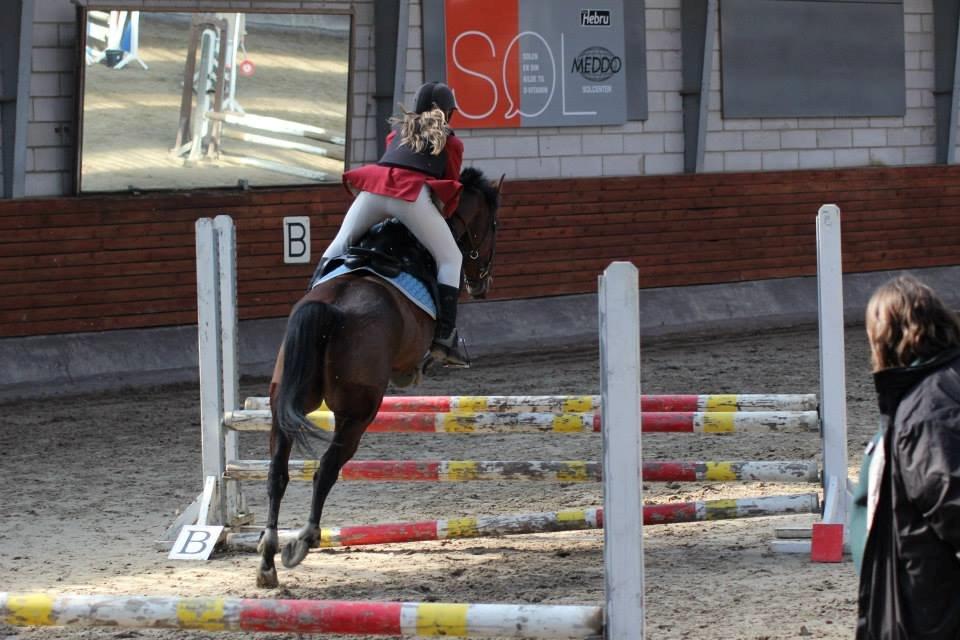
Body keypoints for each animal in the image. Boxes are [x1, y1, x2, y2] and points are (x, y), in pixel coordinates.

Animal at [257, 168, 502, 588]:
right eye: (493, 227)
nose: (482, 285)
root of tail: (331, 308)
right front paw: (438, 355)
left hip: (283, 405)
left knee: (277, 472)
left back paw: (268, 559)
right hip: (359, 414)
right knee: (326, 468)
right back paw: (304, 540)